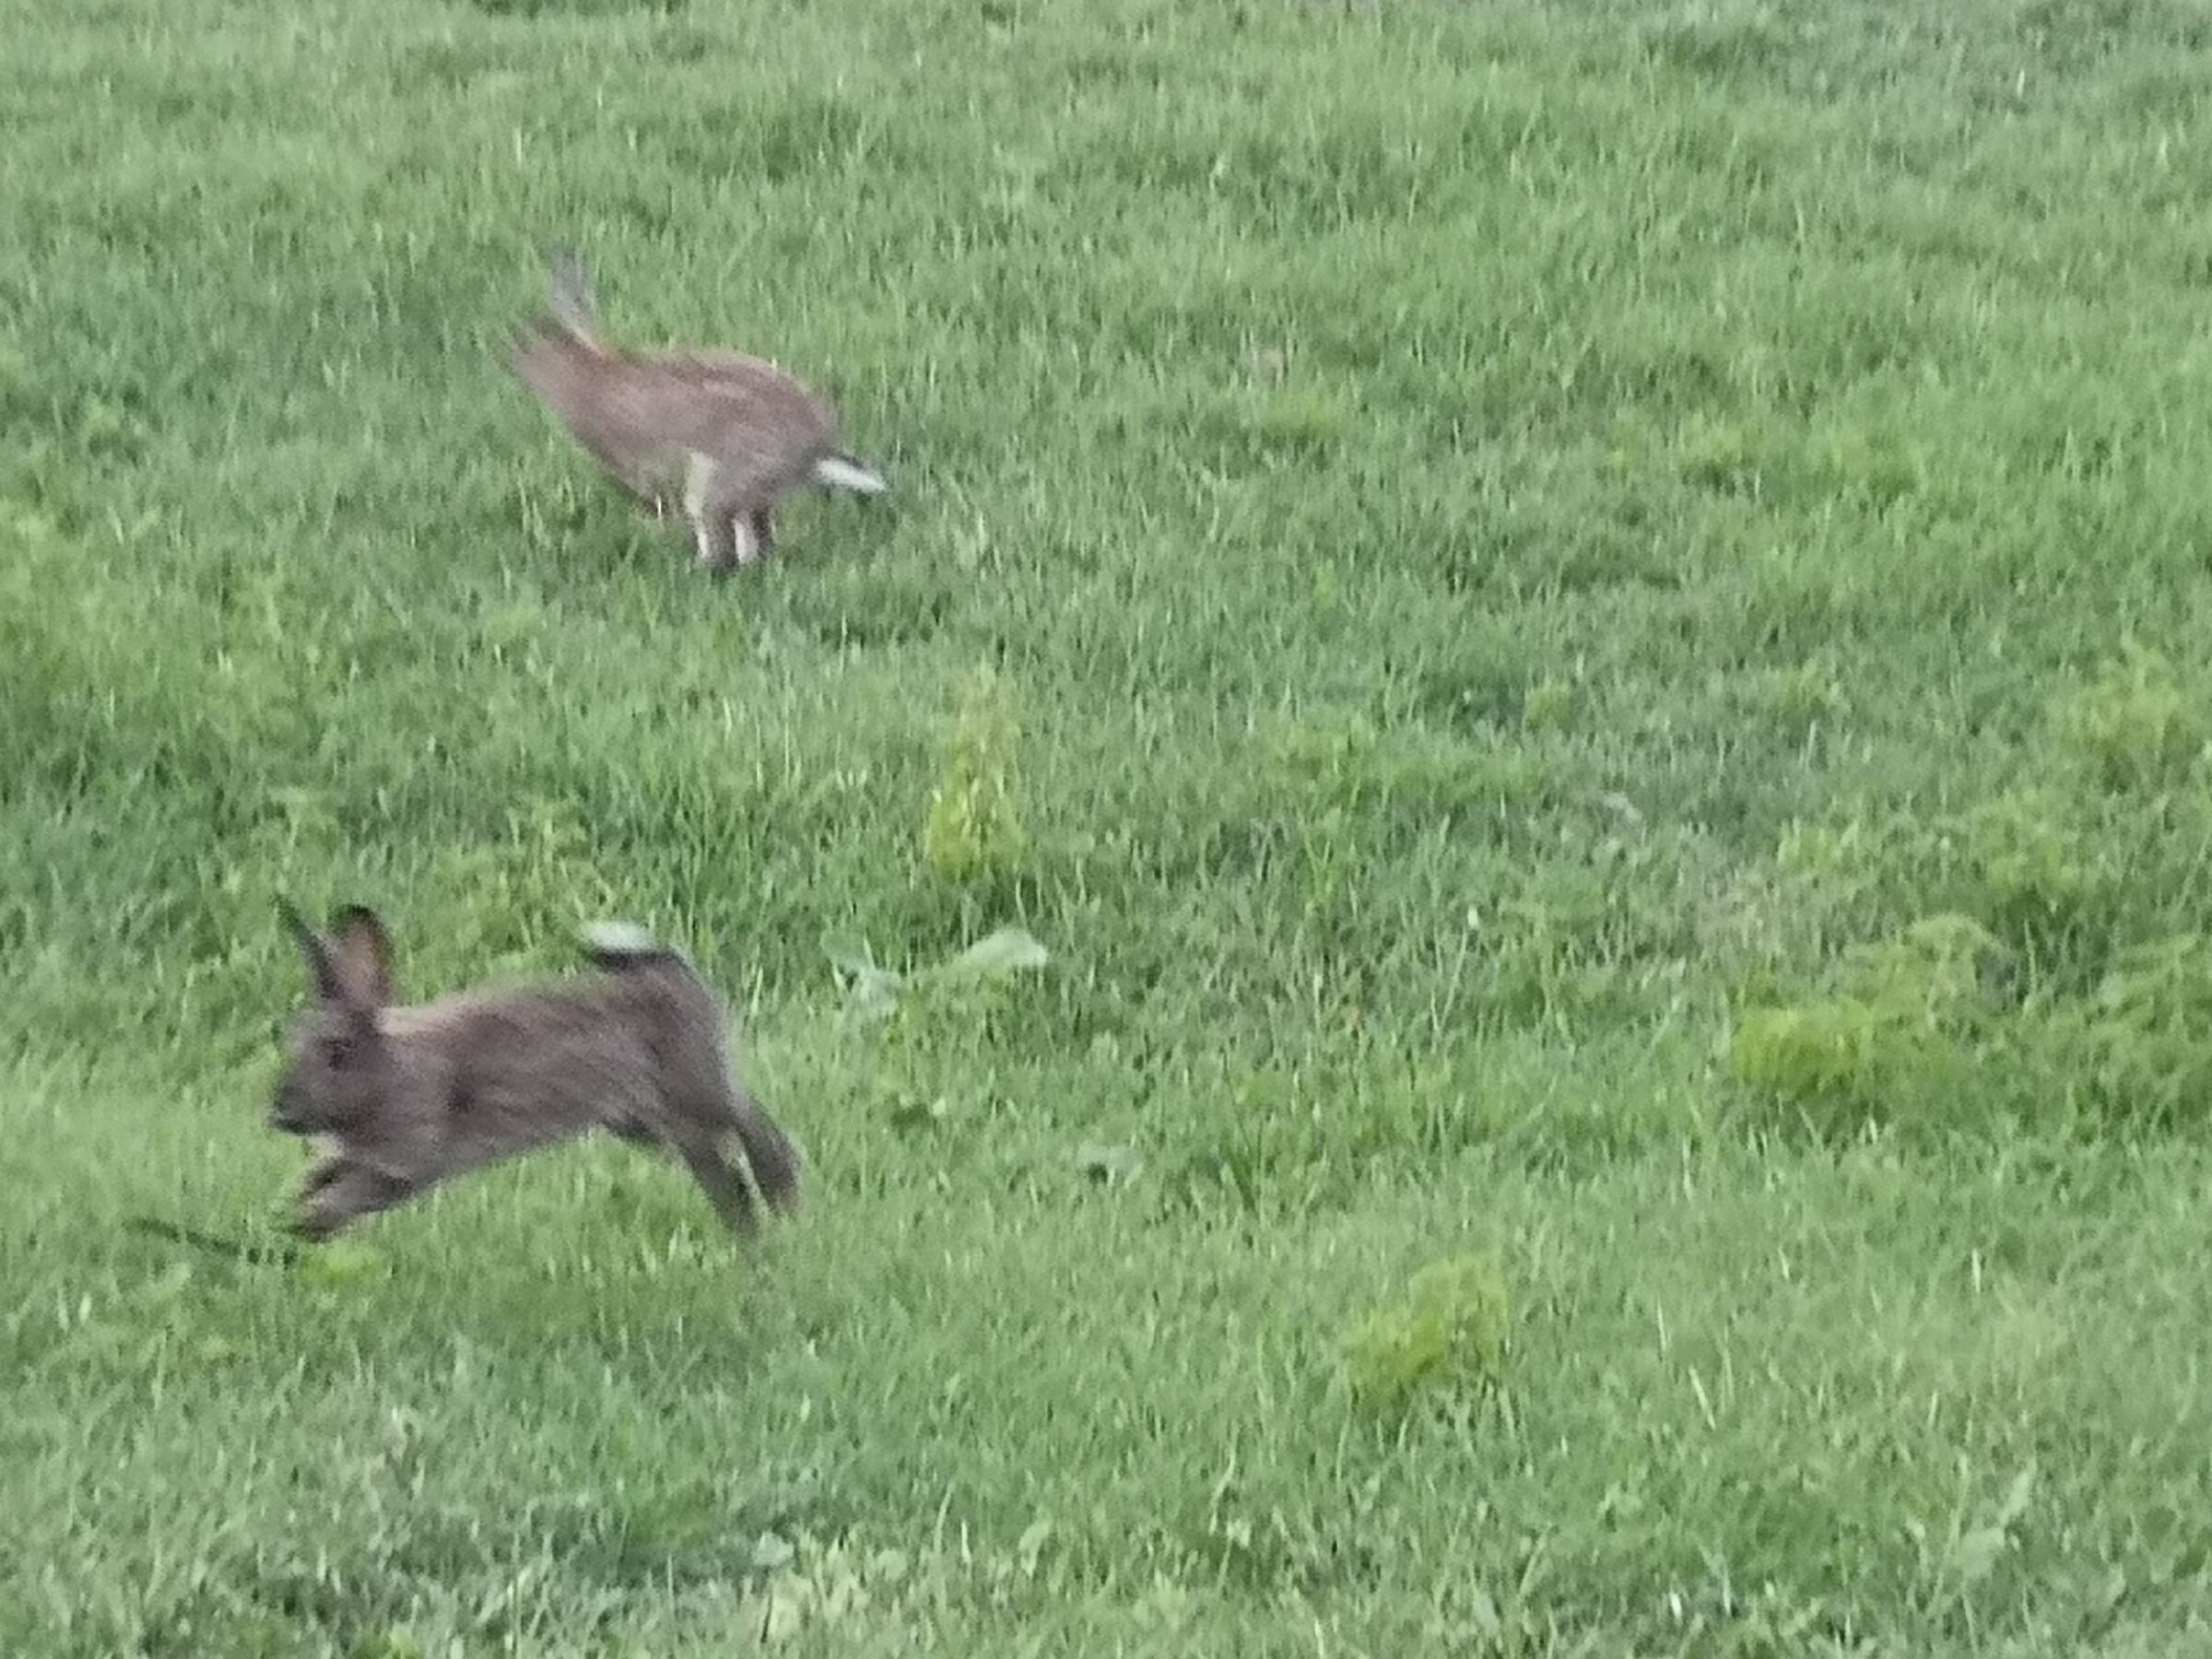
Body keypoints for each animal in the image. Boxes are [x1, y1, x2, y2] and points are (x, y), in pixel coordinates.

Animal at [269, 902, 802, 1243]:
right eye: (290, 1040)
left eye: (337, 1052)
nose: (278, 1116)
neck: (387, 1070)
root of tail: (677, 977)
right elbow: (325, 1175)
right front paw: (291, 1209)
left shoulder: (408, 1153)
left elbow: (358, 1192)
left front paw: (306, 1223)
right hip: (647, 1123)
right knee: (723, 1166)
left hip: (693, 1090)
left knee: (751, 1124)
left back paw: (782, 1196)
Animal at [510, 246, 888, 572]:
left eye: (530, 345)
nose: (511, 361)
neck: (590, 369)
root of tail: (814, 451)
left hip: (720, 481)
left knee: (720, 531)